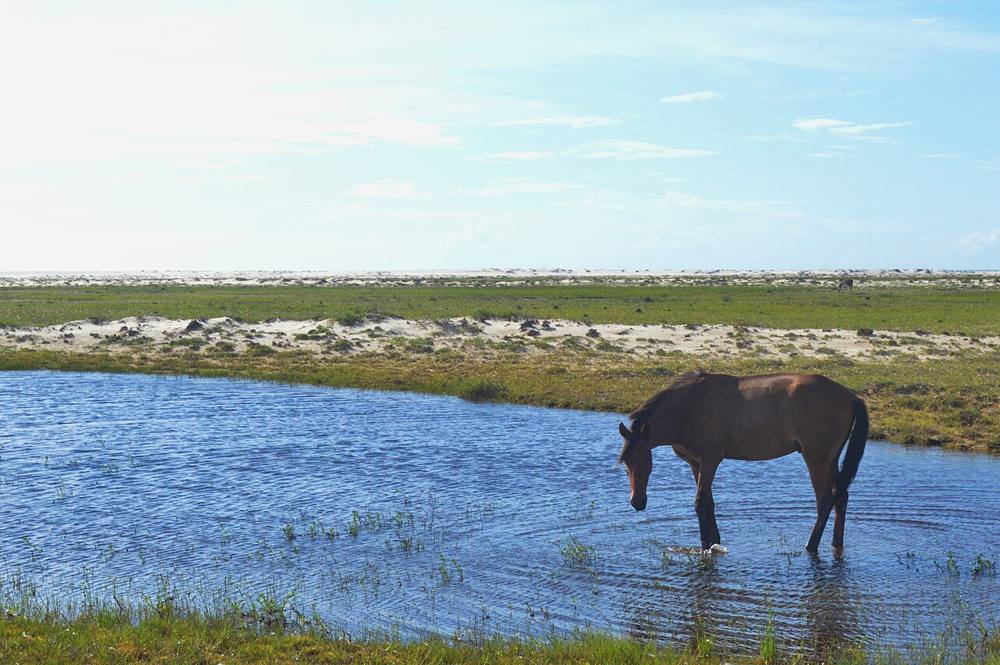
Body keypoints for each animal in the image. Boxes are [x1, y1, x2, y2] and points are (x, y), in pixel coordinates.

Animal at [617, 371, 867, 553]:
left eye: (645, 460)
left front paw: (705, 546)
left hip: (816, 458)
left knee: (825, 499)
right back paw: (836, 543)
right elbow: (708, 502)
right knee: (841, 496)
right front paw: (714, 541)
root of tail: (851, 396)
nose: (637, 502)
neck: (688, 409)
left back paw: (811, 545)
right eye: (626, 465)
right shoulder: (696, 464)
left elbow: (699, 502)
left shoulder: (710, 459)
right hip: (831, 459)